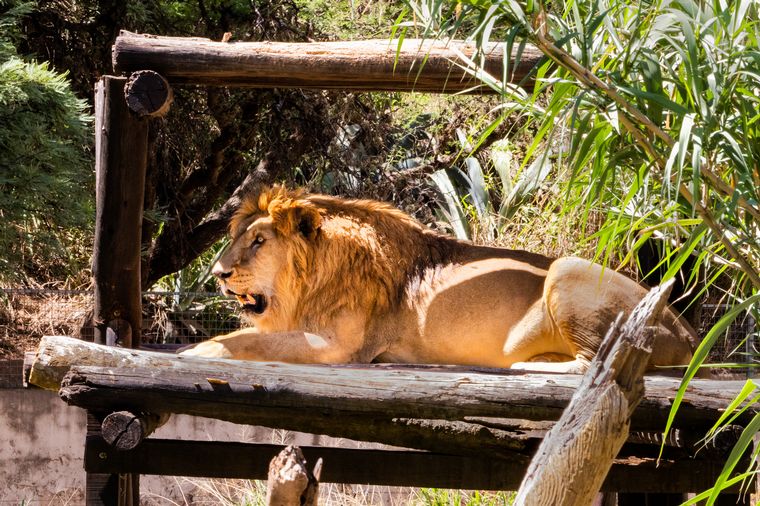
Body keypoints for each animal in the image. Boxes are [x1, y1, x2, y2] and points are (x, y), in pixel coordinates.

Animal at [180, 186, 699, 374]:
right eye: (237, 237)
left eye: (259, 241)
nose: (218, 273)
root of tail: (690, 334)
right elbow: (248, 335)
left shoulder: (340, 346)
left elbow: (248, 340)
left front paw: (196, 352)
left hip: (565, 268)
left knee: (593, 363)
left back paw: (522, 366)